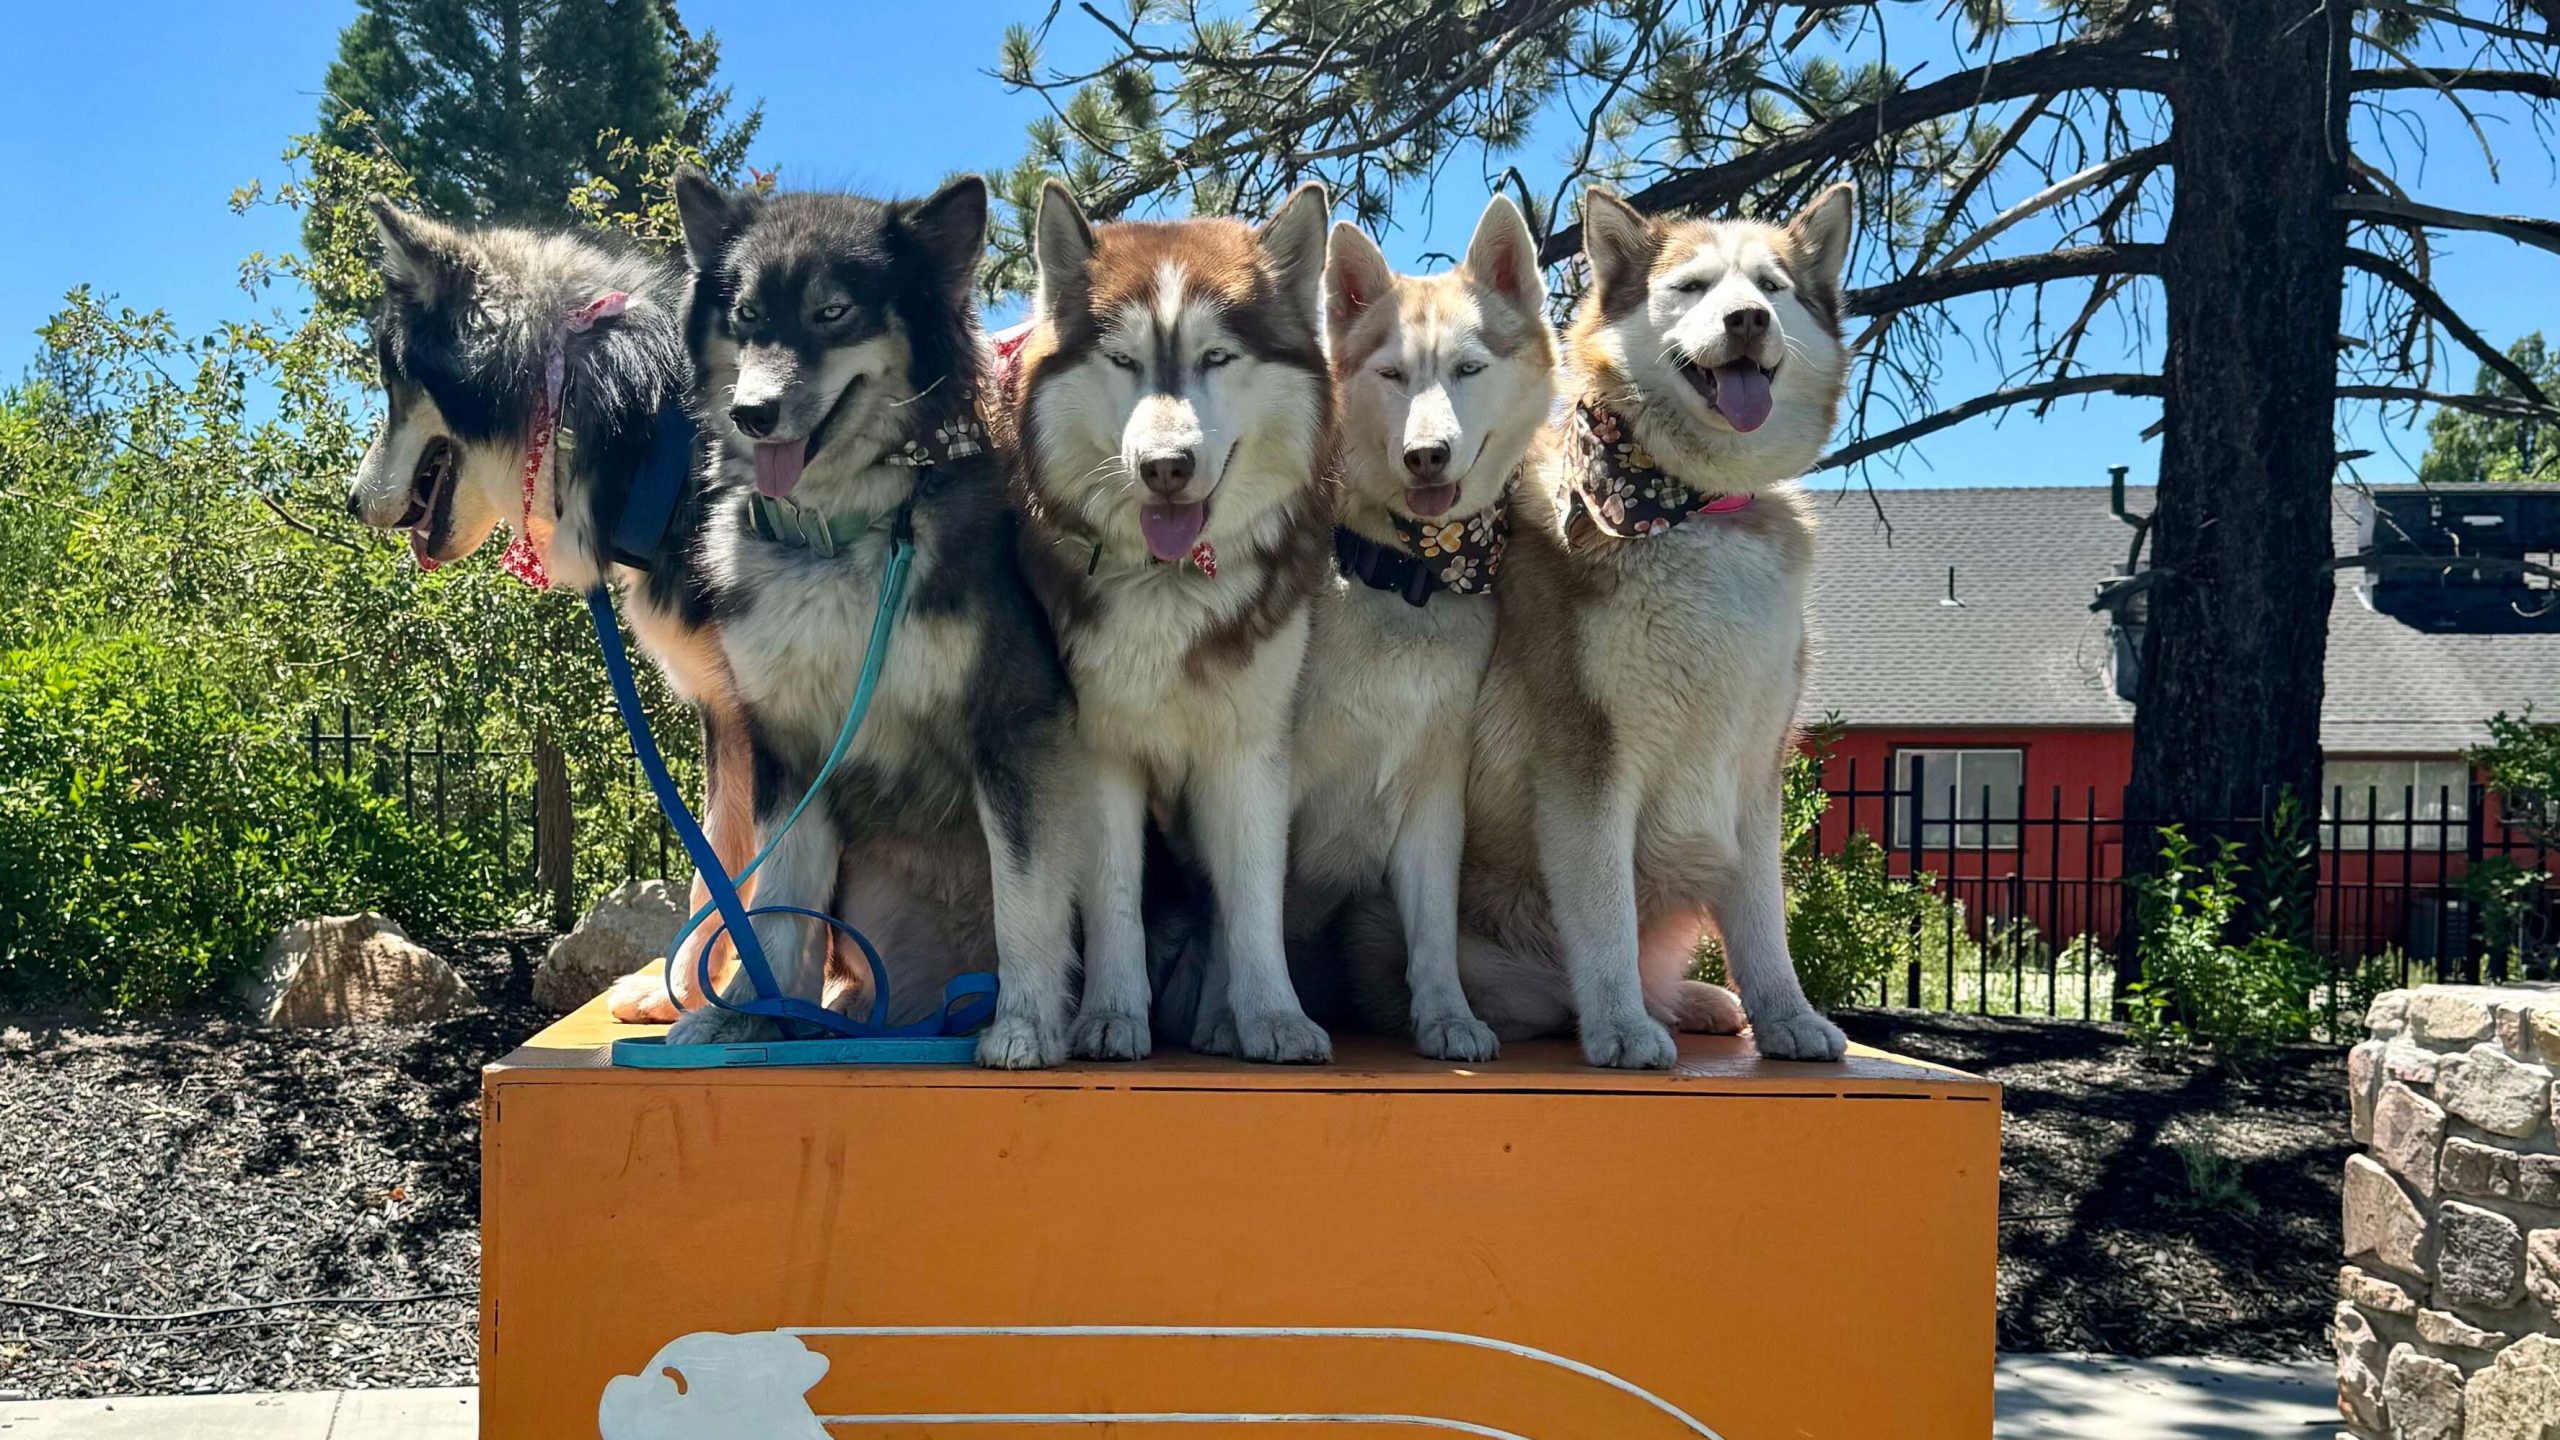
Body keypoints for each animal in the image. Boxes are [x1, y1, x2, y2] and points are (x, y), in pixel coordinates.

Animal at [345, 165, 1863, 1065]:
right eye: (752, 318)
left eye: (833, 312)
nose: (356, 504)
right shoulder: (819, 734)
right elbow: (774, 887)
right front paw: (737, 1003)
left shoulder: (1224, 761)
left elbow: (1120, 912)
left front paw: (1229, 1017)